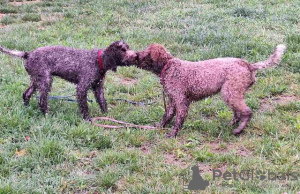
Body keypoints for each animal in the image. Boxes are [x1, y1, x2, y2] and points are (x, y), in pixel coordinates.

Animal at [0, 41, 136, 120]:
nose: (135, 55)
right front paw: (87, 119)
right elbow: (84, 106)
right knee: (42, 100)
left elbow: (103, 102)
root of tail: (28, 54)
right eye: (123, 50)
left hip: (36, 80)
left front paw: (106, 115)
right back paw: (47, 114)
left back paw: (27, 108)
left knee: (26, 93)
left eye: (128, 47)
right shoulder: (82, 88)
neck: (98, 61)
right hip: (46, 80)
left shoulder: (98, 88)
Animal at [134, 44, 286, 138]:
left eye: (145, 54)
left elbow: (178, 120)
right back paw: (231, 124)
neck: (169, 66)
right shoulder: (172, 100)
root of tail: (248, 65)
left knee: (247, 112)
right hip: (231, 92)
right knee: (238, 112)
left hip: (229, 91)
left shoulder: (181, 100)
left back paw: (238, 130)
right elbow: (167, 115)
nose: (135, 55)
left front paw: (173, 134)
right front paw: (159, 127)